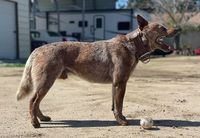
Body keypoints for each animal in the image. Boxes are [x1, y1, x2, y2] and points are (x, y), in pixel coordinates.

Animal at [16, 15, 177, 128]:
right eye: (162, 28)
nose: (177, 29)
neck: (132, 45)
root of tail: (37, 49)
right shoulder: (120, 83)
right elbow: (119, 105)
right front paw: (121, 121)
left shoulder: (116, 84)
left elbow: (116, 105)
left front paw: (121, 119)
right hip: (46, 82)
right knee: (32, 101)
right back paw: (35, 123)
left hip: (46, 83)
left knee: (36, 102)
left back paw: (42, 118)